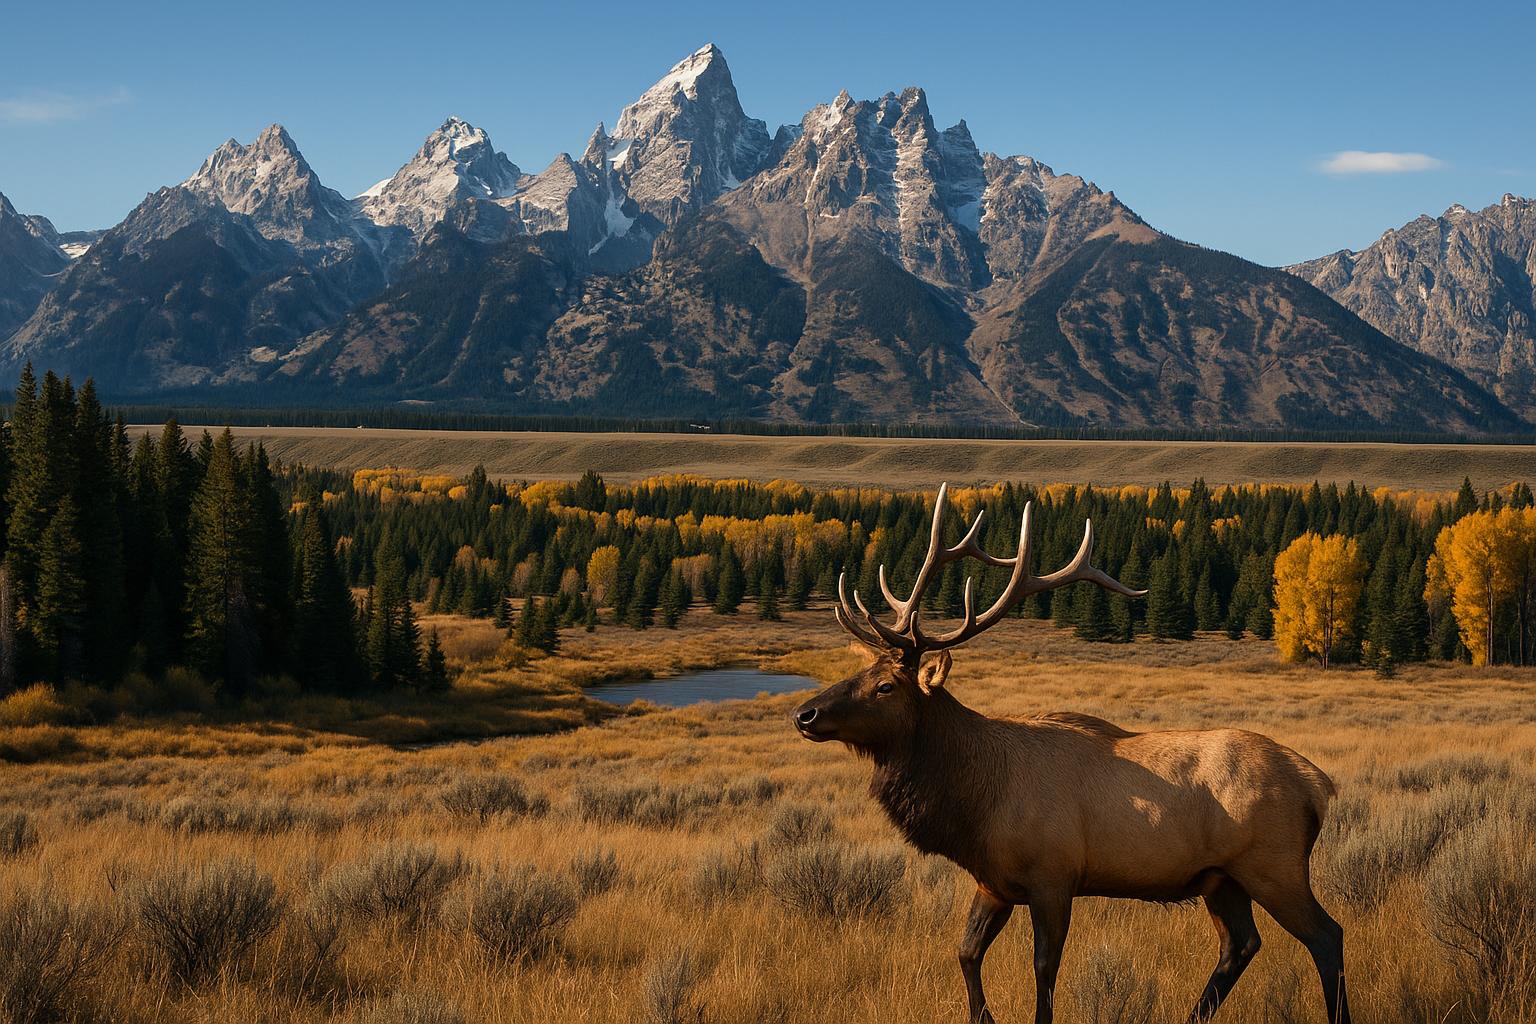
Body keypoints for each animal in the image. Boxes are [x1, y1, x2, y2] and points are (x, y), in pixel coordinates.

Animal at [792, 485, 1349, 1024]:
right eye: (859, 671)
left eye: (886, 686)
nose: (805, 714)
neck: (975, 802)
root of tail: (1318, 783)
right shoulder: (993, 882)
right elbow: (966, 953)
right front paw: (983, 1015)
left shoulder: (1053, 876)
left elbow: (1044, 969)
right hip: (1222, 879)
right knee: (1240, 945)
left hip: (1274, 865)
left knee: (1327, 936)